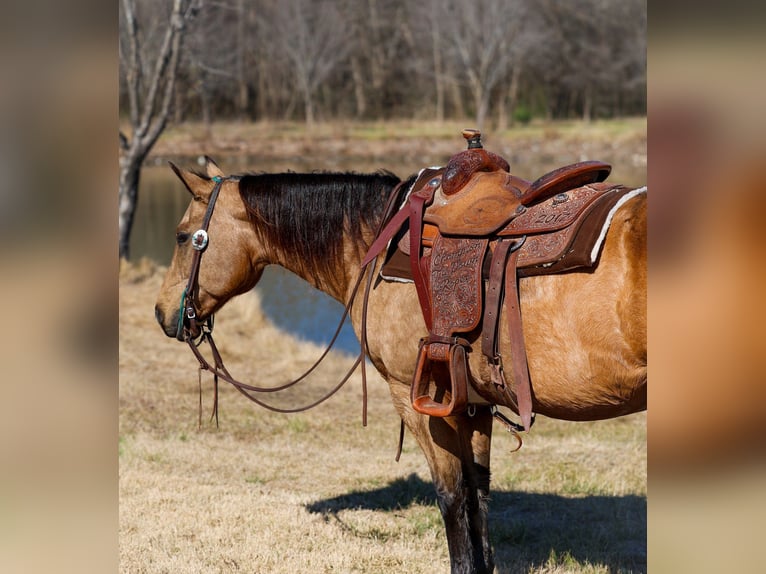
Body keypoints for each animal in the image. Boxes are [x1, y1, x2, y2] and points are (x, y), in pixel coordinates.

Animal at [154, 157, 646, 574]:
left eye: (181, 235)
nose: (162, 313)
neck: (377, 242)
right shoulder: (474, 405)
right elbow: (479, 494)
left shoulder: (419, 398)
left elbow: (451, 496)